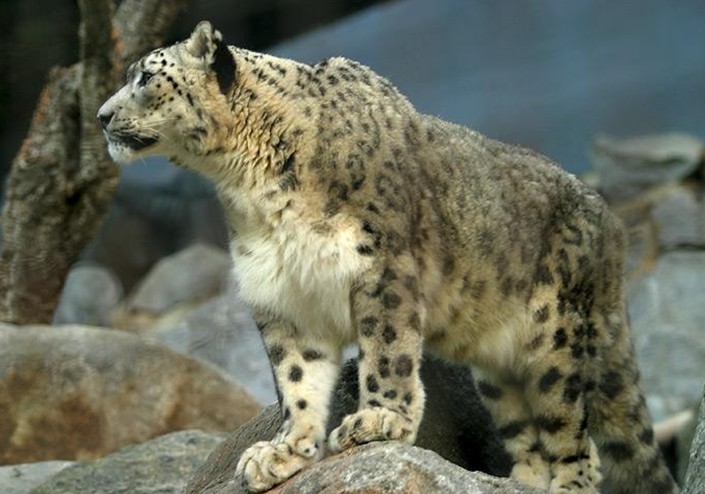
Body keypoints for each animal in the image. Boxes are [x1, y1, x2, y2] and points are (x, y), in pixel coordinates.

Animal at [98, 21, 678, 494]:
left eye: (144, 77)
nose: (101, 116)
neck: (248, 184)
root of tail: (609, 224)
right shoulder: (282, 294)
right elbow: (296, 380)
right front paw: (285, 451)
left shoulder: (382, 266)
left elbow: (387, 348)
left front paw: (379, 420)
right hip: (498, 372)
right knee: (525, 431)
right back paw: (520, 480)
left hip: (555, 341)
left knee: (573, 433)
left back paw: (566, 482)